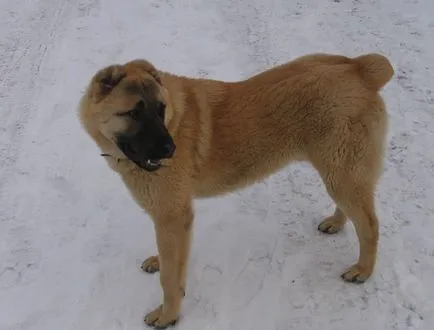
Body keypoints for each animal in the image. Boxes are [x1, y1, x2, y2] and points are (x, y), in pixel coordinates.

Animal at [77, 52, 394, 328]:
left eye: (160, 109)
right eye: (133, 113)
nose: (170, 149)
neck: (174, 121)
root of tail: (360, 68)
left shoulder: (174, 216)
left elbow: (169, 277)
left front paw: (168, 315)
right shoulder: (170, 220)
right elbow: (171, 261)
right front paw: (159, 263)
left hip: (342, 173)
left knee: (370, 225)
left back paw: (363, 270)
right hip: (339, 173)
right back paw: (336, 223)